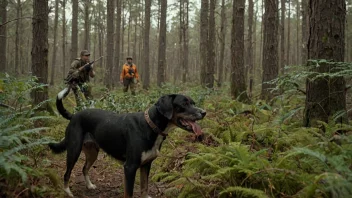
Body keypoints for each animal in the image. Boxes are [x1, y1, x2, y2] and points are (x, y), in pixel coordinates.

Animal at [48, 88, 205, 198]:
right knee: (67, 173)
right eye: (184, 103)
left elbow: (144, 187)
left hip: (92, 152)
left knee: (84, 168)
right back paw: (68, 192)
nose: (204, 112)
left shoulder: (146, 164)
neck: (150, 126)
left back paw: (90, 185)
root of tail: (74, 115)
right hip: (74, 150)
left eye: (193, 103)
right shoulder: (130, 167)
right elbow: (129, 193)